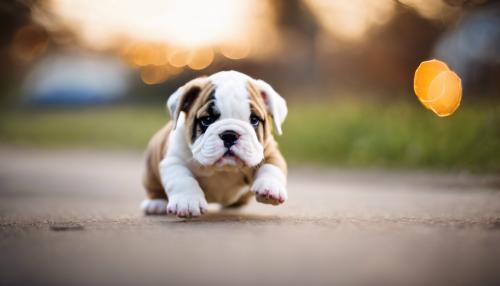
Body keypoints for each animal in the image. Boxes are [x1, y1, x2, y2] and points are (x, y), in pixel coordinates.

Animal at [141, 71, 290, 217]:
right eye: (207, 120)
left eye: (254, 120)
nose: (230, 134)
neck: (223, 170)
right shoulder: (174, 160)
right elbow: (182, 179)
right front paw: (187, 201)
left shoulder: (269, 151)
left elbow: (272, 167)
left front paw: (270, 187)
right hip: (151, 170)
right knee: (154, 188)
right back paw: (156, 203)